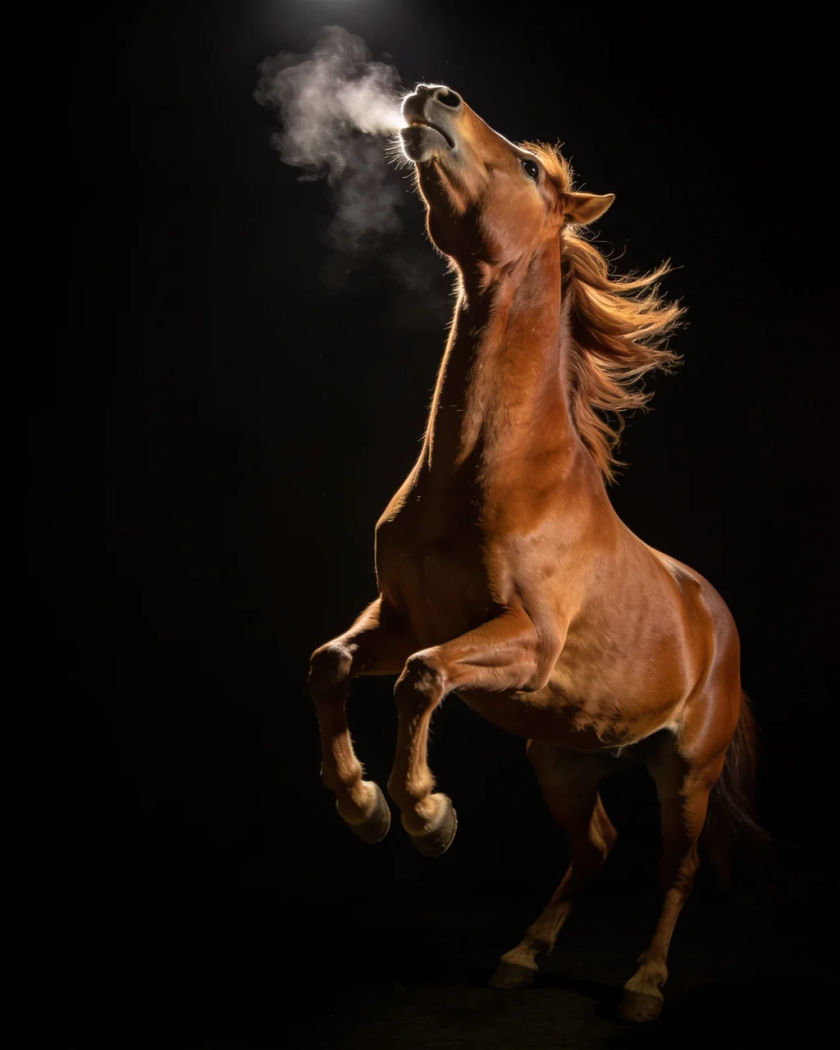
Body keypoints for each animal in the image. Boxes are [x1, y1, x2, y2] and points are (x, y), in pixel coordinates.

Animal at [307, 83, 756, 1023]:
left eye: (526, 166)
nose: (431, 96)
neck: (490, 471)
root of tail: (716, 614)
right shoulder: (404, 619)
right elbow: (332, 662)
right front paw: (364, 806)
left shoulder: (523, 640)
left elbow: (421, 681)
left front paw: (425, 815)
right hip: (562, 756)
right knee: (596, 845)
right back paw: (521, 955)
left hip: (686, 771)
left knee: (677, 865)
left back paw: (644, 985)